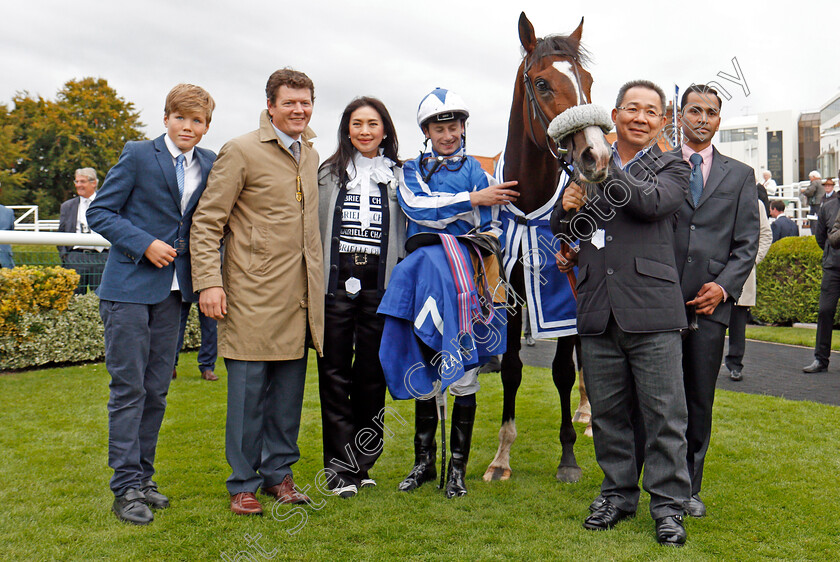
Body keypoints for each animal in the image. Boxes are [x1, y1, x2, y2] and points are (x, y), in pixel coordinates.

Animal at [482, 13, 612, 484]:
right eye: (541, 83)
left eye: (587, 79)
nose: (596, 154)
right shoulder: (512, 293)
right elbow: (511, 369)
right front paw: (501, 456)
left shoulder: (563, 292)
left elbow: (562, 369)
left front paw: (568, 457)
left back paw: (588, 414)